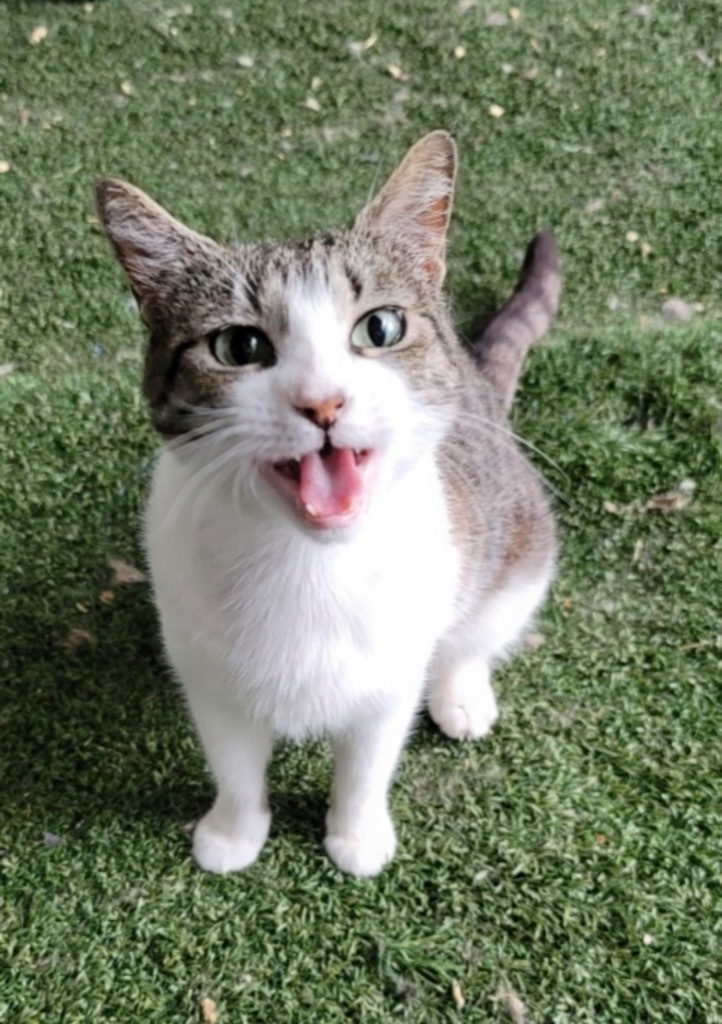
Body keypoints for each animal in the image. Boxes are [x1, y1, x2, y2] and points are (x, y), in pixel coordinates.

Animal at [93, 132, 561, 876]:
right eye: (239, 345)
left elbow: (366, 766)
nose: (323, 402)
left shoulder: (390, 676)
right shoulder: (207, 671)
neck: (308, 563)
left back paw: (462, 691)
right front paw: (233, 833)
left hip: (518, 547)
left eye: (381, 328)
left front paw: (357, 836)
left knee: (476, 635)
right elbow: (234, 766)